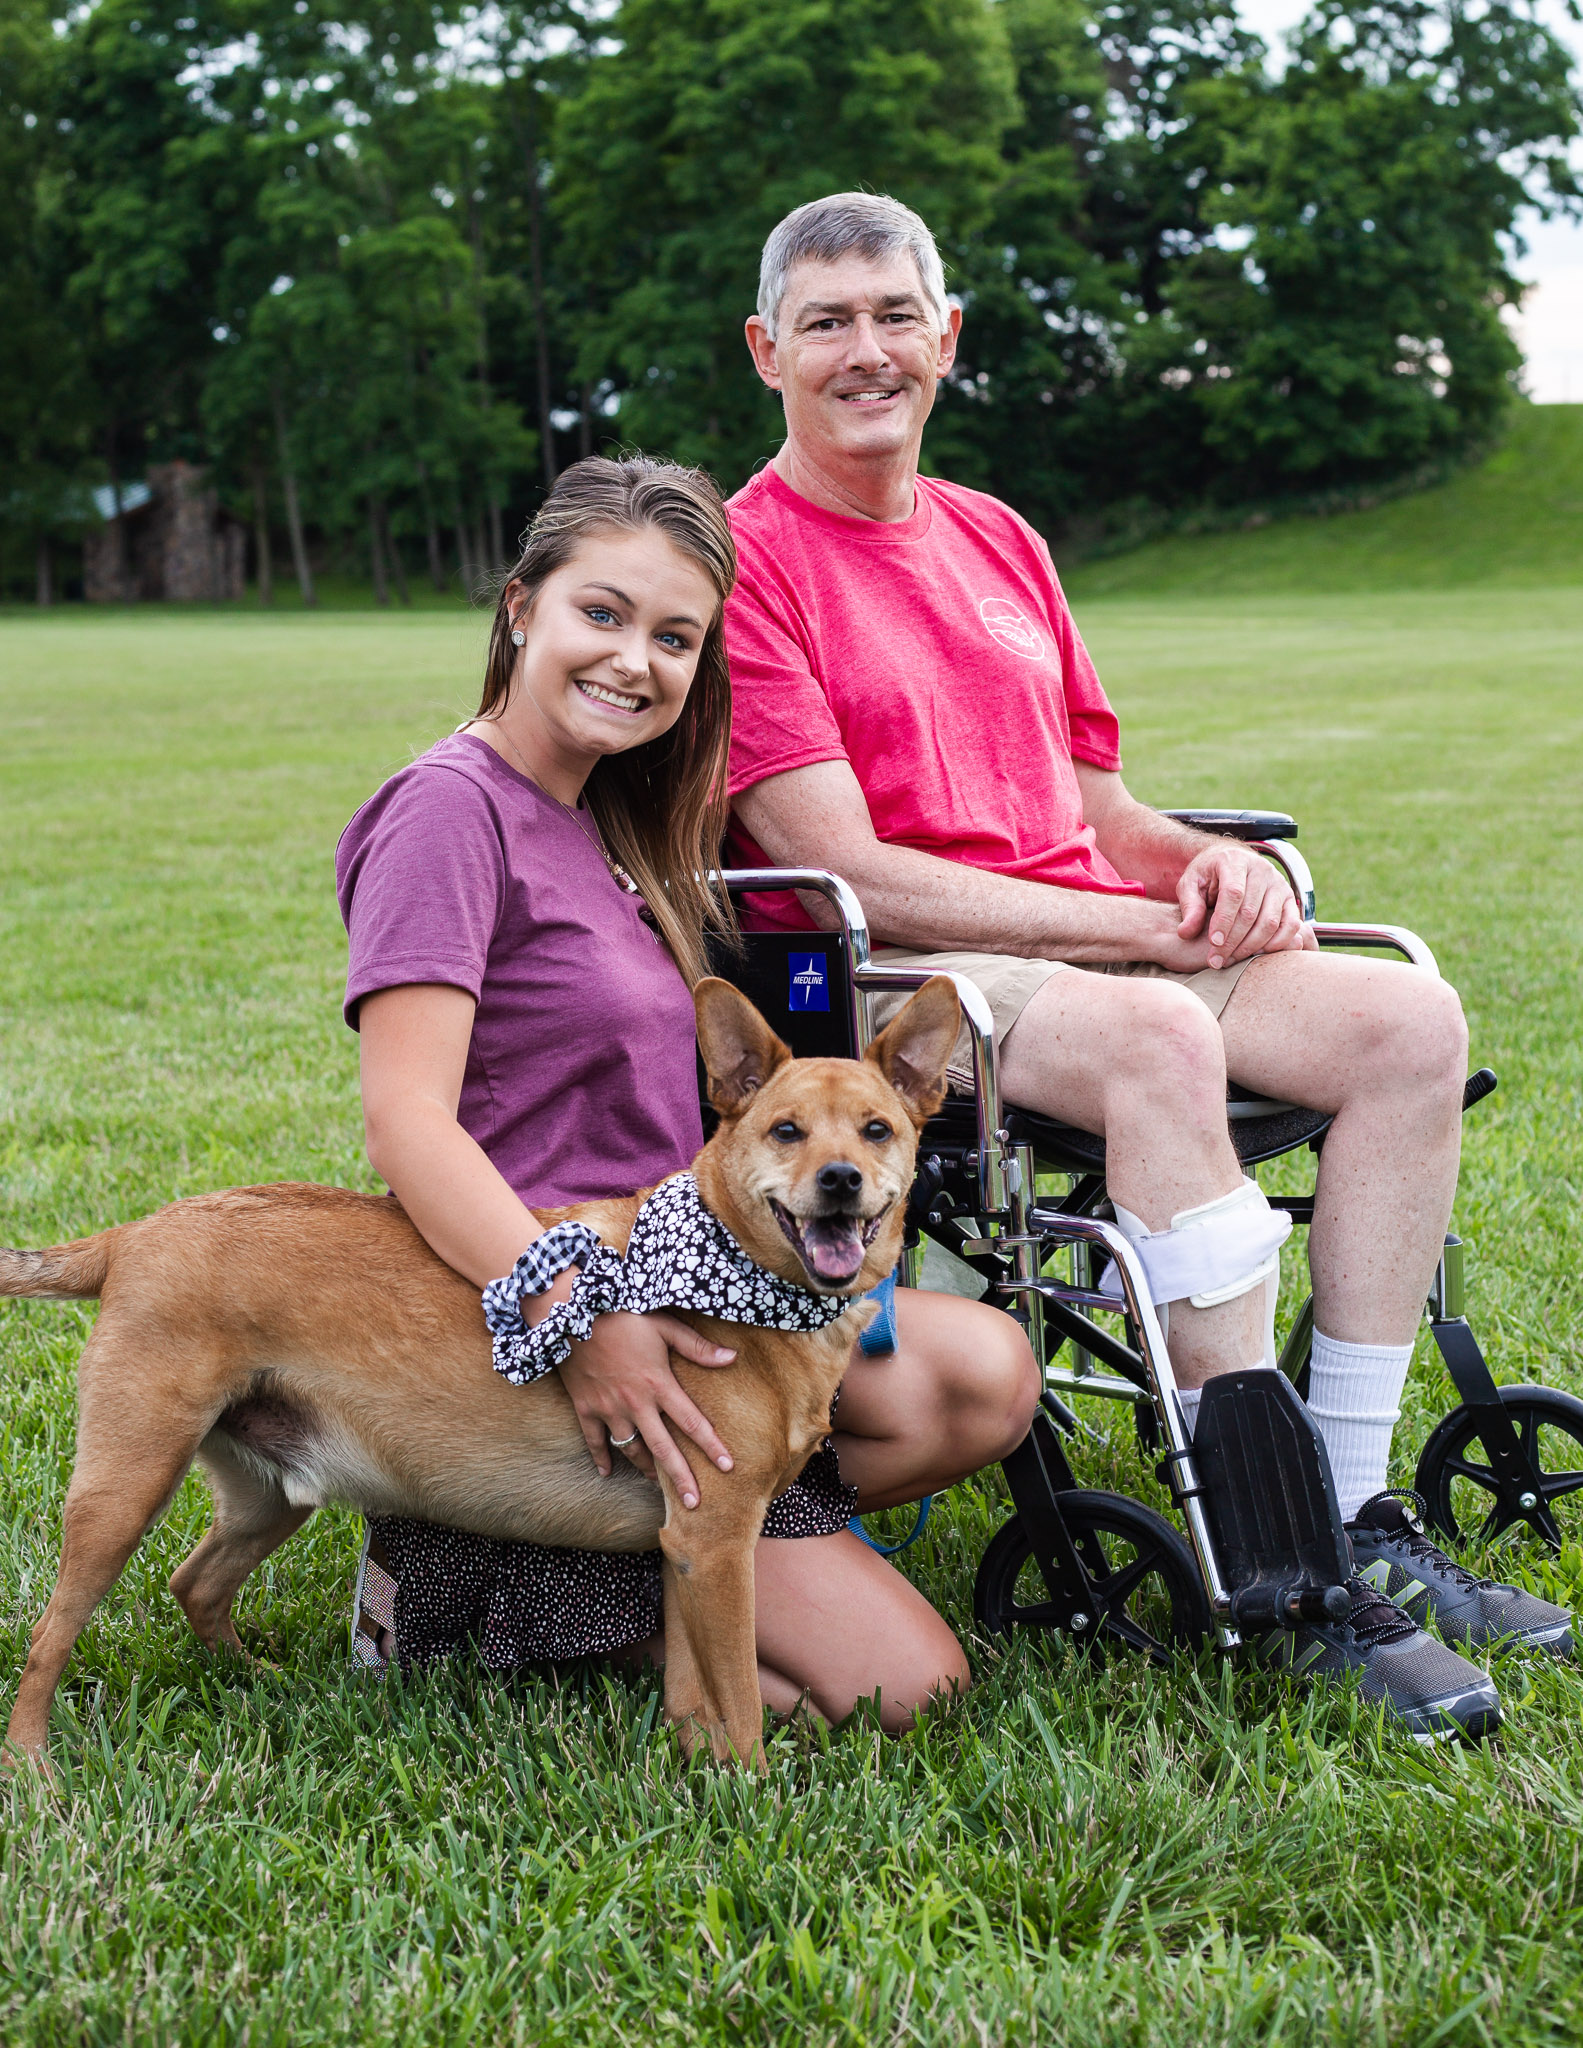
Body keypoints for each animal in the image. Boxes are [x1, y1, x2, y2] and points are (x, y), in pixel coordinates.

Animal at [0, 970, 958, 1761]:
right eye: (785, 1131)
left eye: (877, 1130)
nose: (840, 1180)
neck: (732, 1277)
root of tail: (132, 1235)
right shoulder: (715, 1545)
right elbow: (742, 1709)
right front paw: (748, 1805)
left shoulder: (686, 1552)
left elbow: (698, 1699)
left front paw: (700, 1781)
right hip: (125, 1487)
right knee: (48, 1638)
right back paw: (34, 1767)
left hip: (268, 1491)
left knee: (195, 1584)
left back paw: (256, 1683)